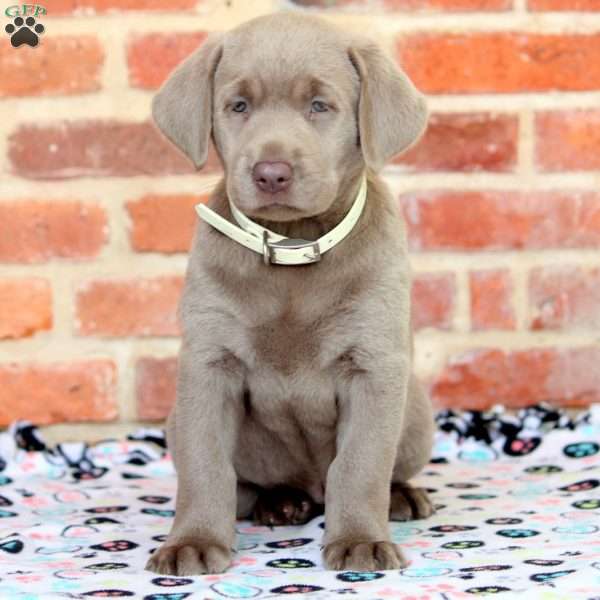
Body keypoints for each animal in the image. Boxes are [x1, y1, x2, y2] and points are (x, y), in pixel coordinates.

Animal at [146, 11, 436, 576]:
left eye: (319, 106)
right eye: (238, 106)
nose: (271, 173)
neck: (292, 247)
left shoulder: (374, 366)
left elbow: (360, 463)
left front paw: (361, 540)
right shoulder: (208, 365)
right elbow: (205, 465)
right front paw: (192, 542)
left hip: (415, 412)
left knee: (382, 467)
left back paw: (400, 496)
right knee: (246, 483)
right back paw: (278, 503)